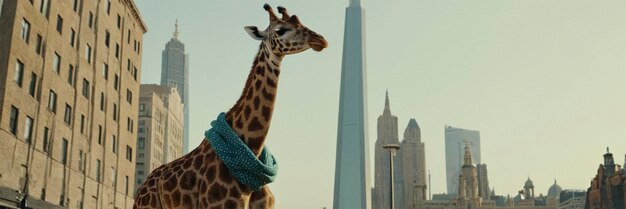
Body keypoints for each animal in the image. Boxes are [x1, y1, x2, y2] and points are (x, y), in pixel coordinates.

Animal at [132, 3, 326, 209]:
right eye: (281, 30)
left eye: (301, 21)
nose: (320, 40)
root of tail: (141, 188)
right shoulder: (219, 205)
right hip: (147, 205)